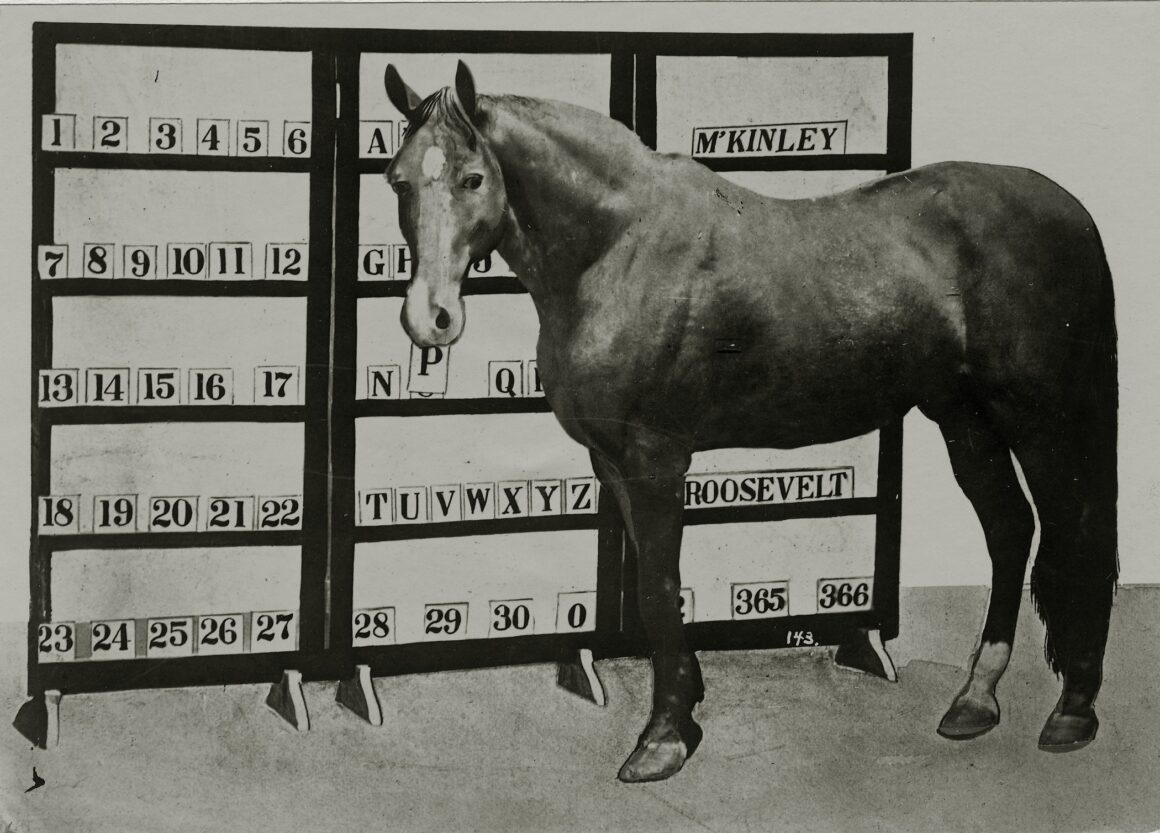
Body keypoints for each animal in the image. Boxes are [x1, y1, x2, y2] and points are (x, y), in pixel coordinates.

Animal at [385, 63, 1118, 784]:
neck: (618, 247)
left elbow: (658, 588)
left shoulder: (656, 459)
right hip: (963, 415)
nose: (431, 318)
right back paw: (975, 699)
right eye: (398, 179)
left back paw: (1073, 711)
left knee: (1074, 529)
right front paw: (686, 708)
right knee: (1010, 527)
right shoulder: (612, 461)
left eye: (472, 177)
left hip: (1041, 417)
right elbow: (653, 584)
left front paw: (662, 738)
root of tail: (1071, 210)